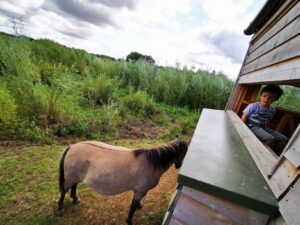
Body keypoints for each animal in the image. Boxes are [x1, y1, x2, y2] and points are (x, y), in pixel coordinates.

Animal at [54, 140, 188, 224]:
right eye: (185, 154)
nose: (179, 166)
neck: (153, 162)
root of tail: (72, 146)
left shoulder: (139, 191)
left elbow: (136, 203)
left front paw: (139, 206)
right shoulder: (140, 191)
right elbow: (133, 207)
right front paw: (129, 221)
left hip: (76, 176)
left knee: (74, 186)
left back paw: (75, 198)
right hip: (71, 176)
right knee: (64, 190)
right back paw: (60, 209)